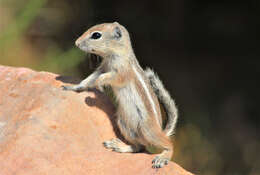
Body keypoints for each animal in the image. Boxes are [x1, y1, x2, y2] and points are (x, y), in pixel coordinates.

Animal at [62, 21, 178, 168]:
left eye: (96, 35)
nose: (76, 43)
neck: (115, 54)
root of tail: (160, 130)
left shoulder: (121, 73)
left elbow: (108, 78)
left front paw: (99, 85)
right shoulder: (103, 68)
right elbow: (88, 79)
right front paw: (72, 87)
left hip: (147, 130)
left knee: (168, 144)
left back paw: (162, 158)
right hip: (124, 124)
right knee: (139, 147)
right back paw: (119, 146)